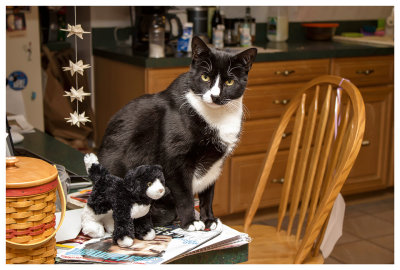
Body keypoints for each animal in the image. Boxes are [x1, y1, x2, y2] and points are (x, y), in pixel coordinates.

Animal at [97, 37, 256, 232]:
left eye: (229, 82)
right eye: (205, 77)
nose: (215, 96)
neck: (216, 117)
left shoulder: (215, 164)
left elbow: (208, 194)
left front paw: (209, 219)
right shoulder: (176, 161)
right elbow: (185, 194)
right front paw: (190, 222)